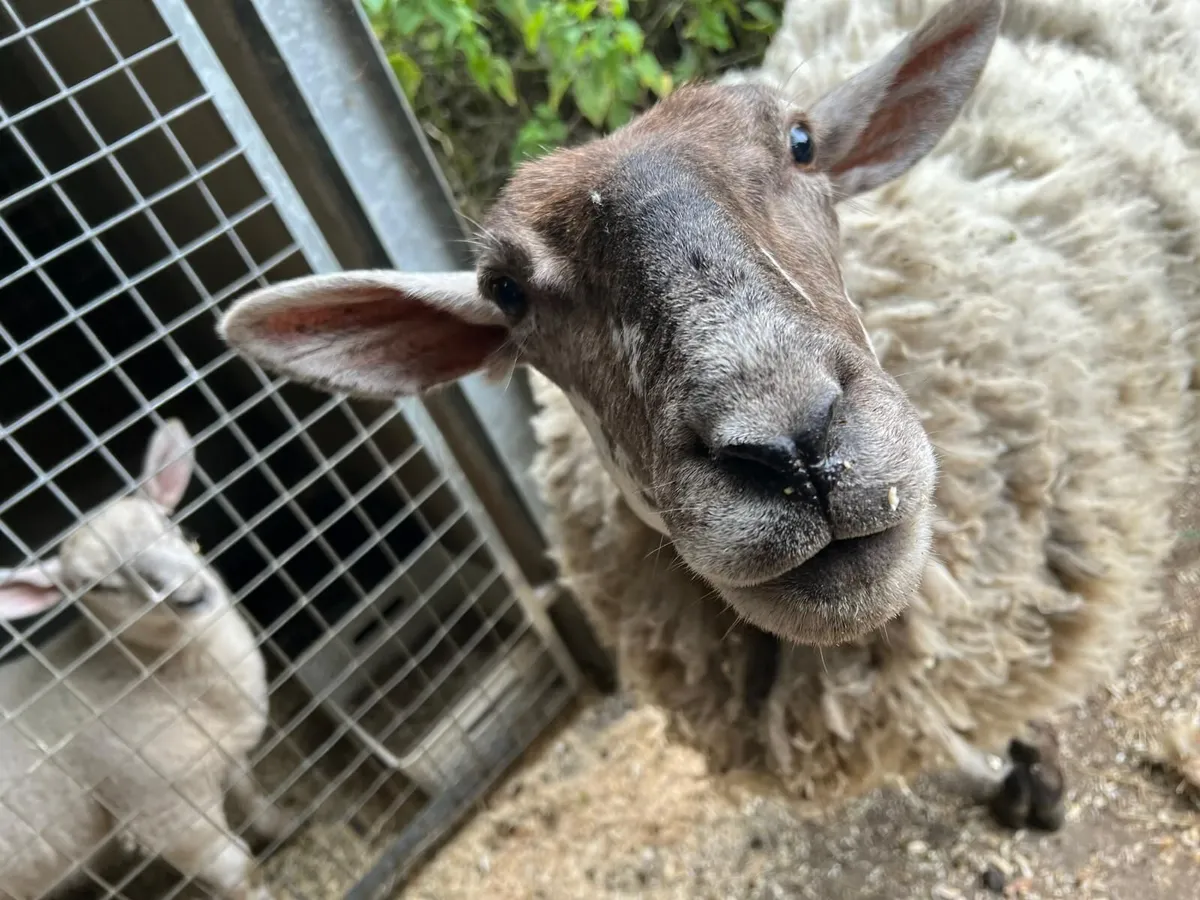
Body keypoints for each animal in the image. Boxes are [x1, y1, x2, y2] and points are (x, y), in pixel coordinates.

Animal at [0, 420, 288, 900]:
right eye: (96, 586)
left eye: (163, 521)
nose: (189, 593)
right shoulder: (167, 812)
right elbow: (242, 874)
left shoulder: (218, 753)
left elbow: (252, 794)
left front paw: (281, 825)